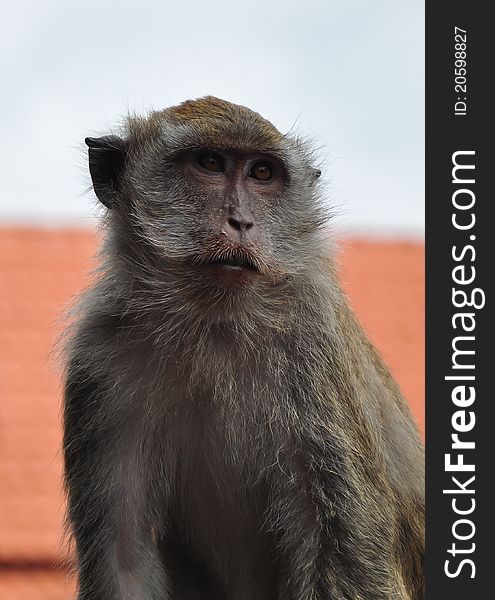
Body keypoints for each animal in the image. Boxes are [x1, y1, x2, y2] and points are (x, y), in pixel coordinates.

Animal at [63, 96, 426, 596]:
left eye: (261, 173)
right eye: (211, 164)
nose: (241, 222)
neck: (211, 325)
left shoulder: (315, 344)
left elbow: (350, 559)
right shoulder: (98, 358)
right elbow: (122, 560)